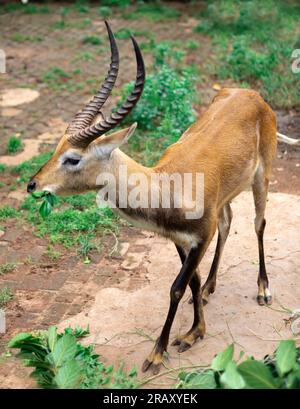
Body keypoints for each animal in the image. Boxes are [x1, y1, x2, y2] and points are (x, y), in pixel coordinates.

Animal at [27, 21, 298, 372]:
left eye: (72, 158)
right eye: (57, 146)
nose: (33, 184)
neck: (164, 184)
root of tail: (251, 94)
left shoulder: (200, 236)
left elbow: (176, 288)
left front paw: (159, 351)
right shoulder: (181, 240)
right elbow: (192, 280)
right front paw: (196, 330)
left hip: (261, 176)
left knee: (259, 223)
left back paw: (263, 289)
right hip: (227, 197)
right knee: (228, 222)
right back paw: (210, 288)